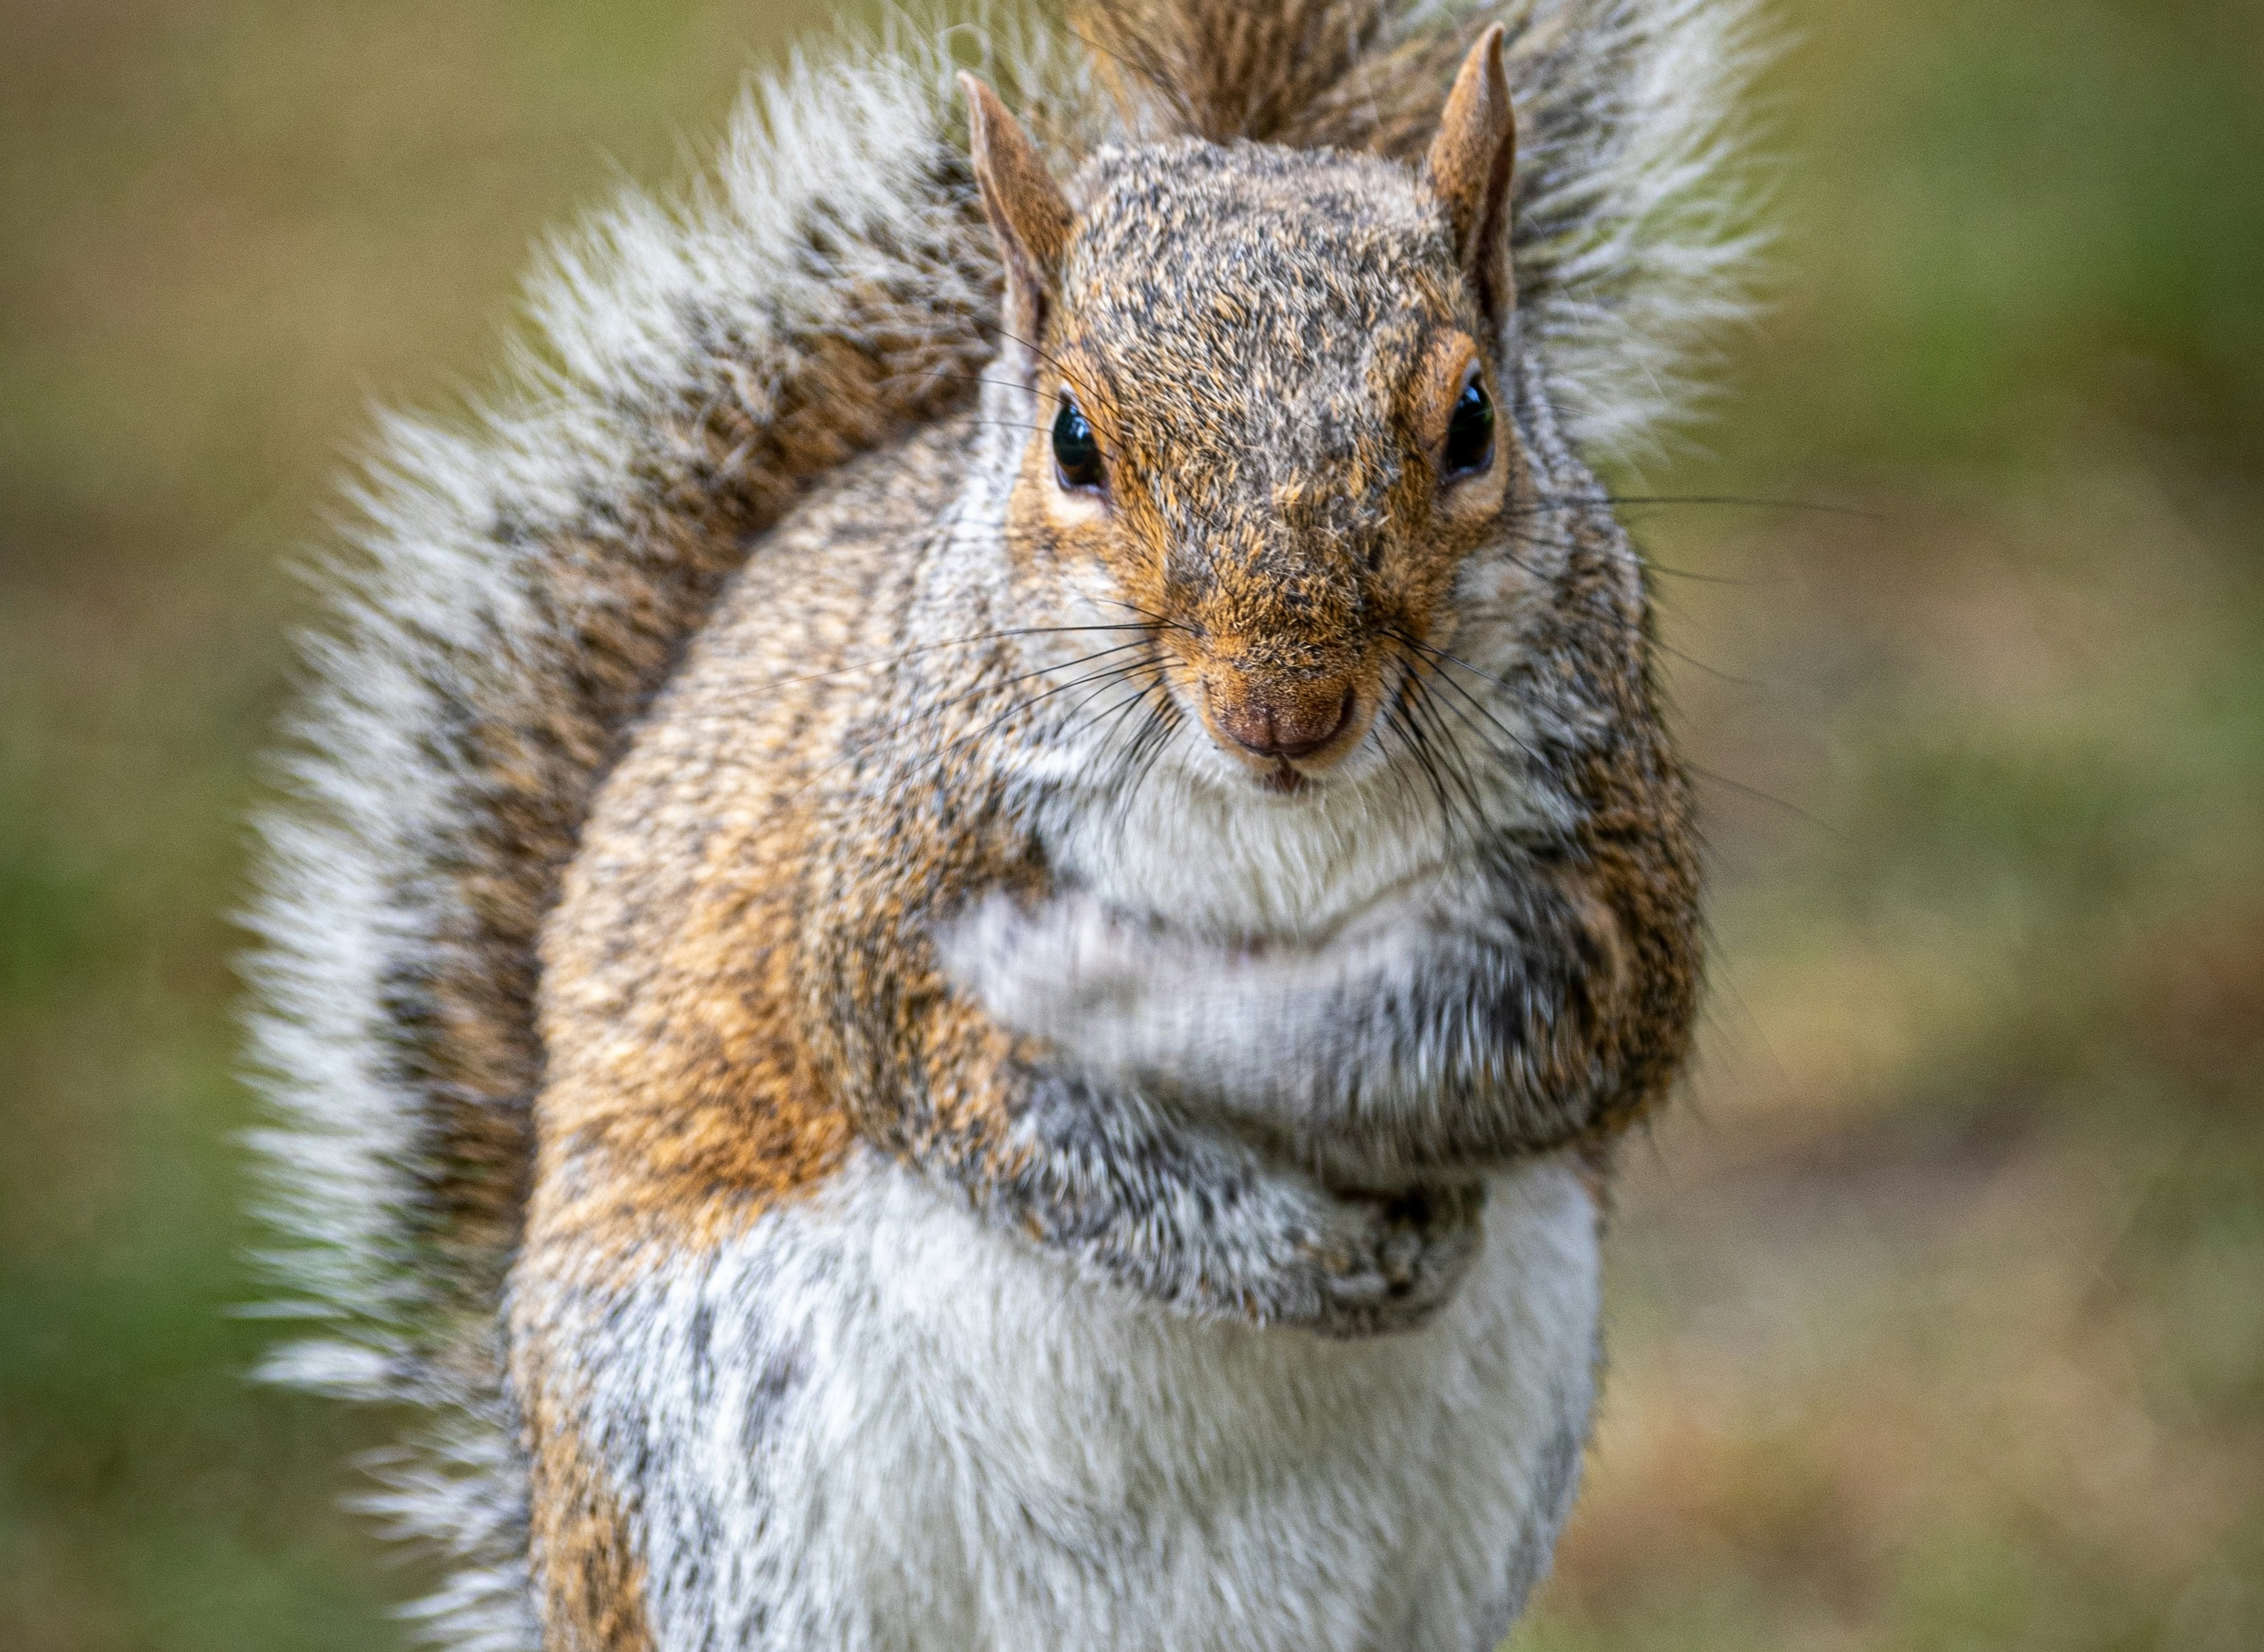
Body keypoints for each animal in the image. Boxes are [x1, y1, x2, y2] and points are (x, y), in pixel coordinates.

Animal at [245, 2, 1768, 1648]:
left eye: (1473, 420)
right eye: (1074, 441)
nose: (1284, 707)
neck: (1265, 819)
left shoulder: (1600, 863)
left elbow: (1541, 1028)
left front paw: (1128, 991)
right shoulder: (893, 868)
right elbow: (969, 1090)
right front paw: (1294, 1227)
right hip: (706, 1494)